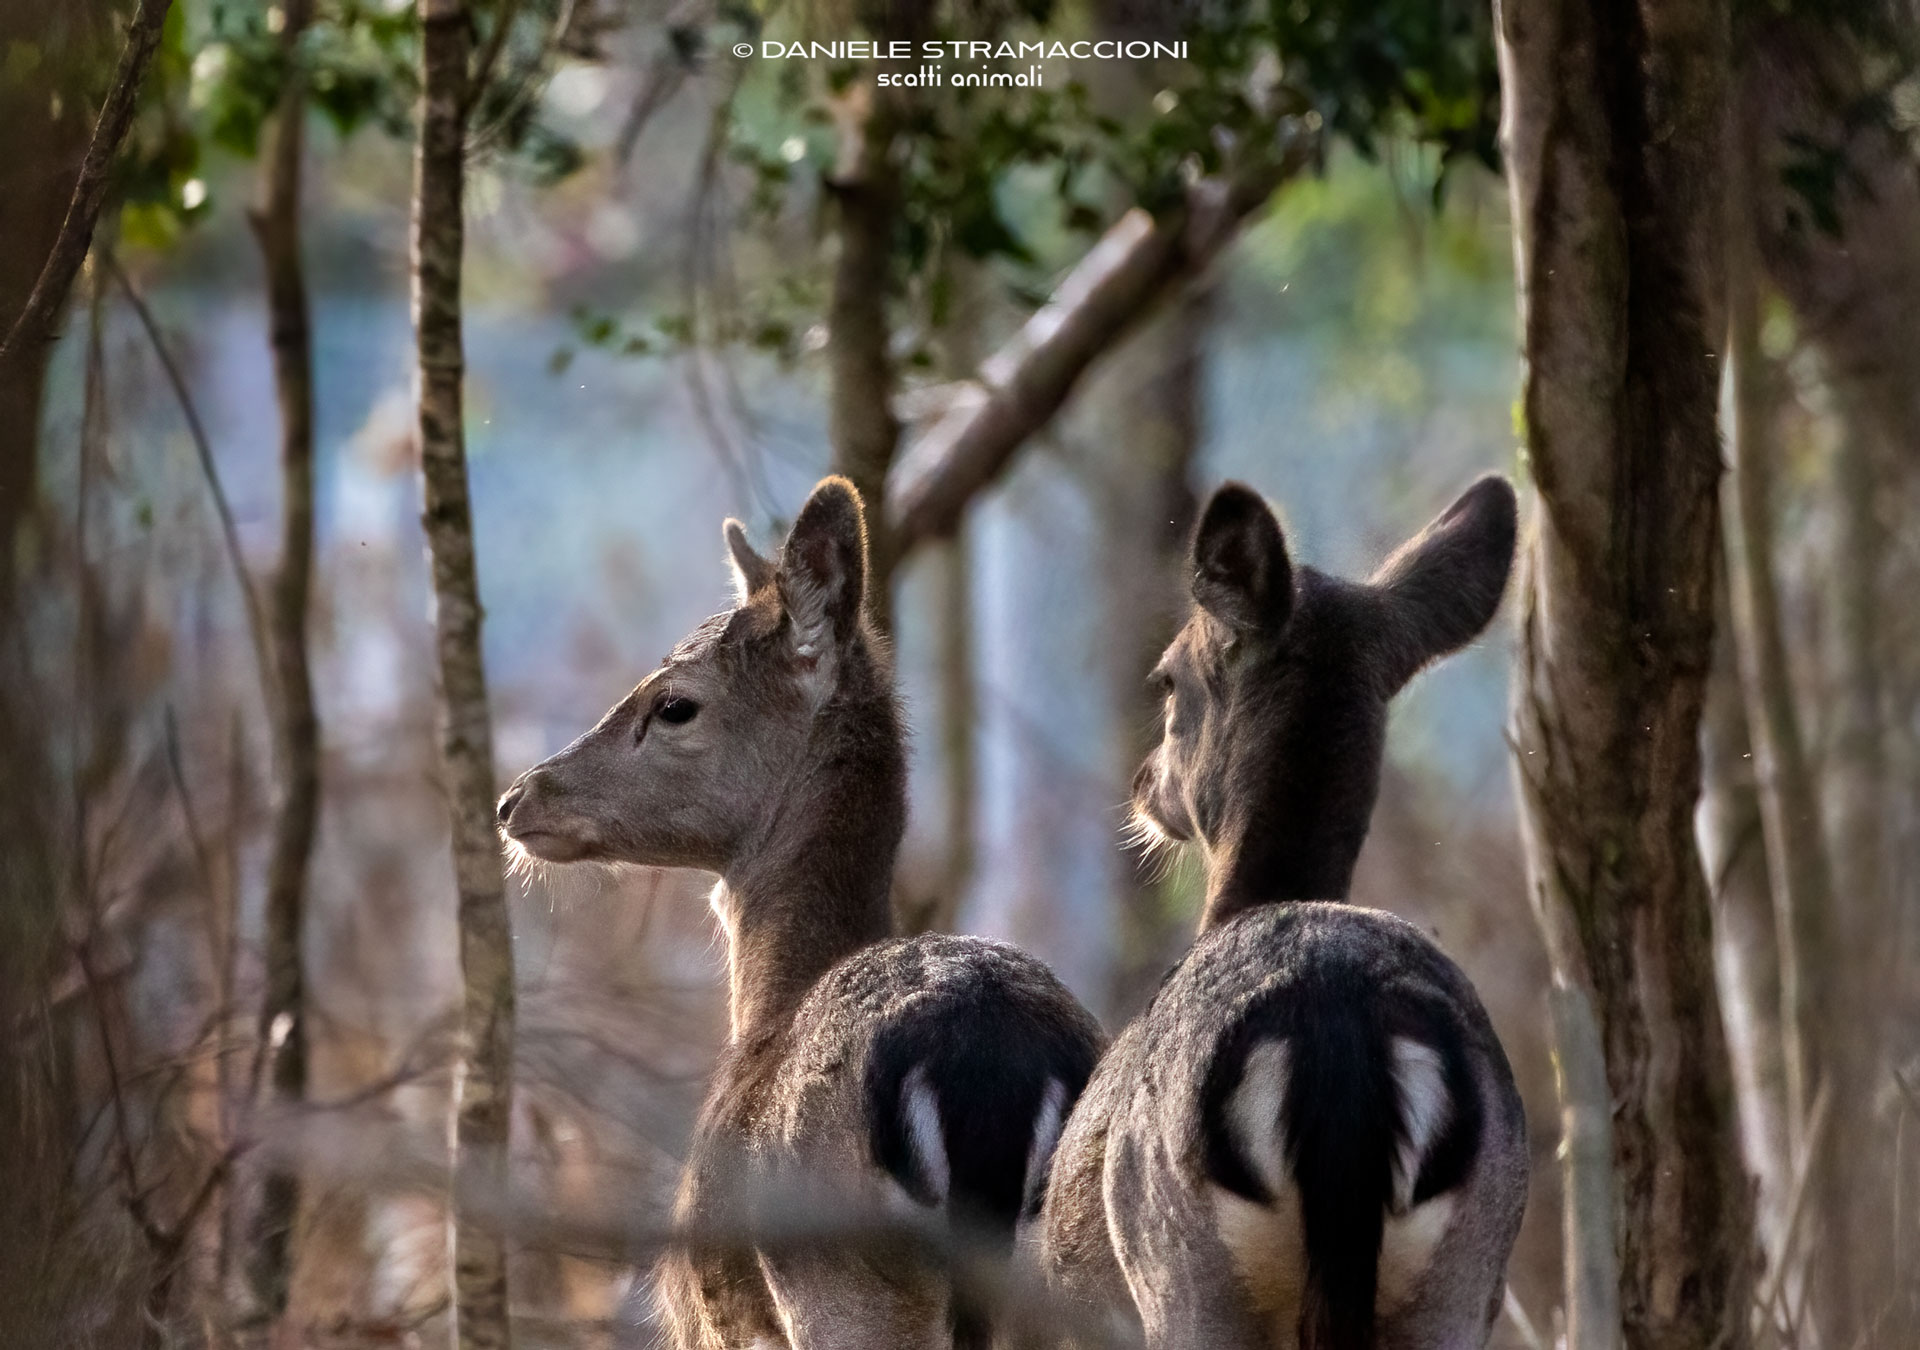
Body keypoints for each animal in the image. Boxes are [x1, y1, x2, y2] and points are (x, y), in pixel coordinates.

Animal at [496, 477, 1104, 1350]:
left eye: (674, 704)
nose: (518, 797)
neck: (772, 1003)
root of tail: (984, 1069)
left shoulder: (714, 1320)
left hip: (837, 1284)